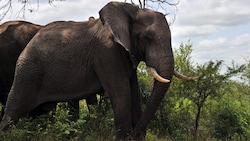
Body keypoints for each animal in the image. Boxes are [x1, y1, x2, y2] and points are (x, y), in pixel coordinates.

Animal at [0, 1, 195, 140]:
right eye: (147, 38)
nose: (135, 135)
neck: (131, 11)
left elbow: (134, 92)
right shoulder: (107, 53)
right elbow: (121, 92)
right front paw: (124, 138)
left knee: (40, 113)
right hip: (28, 70)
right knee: (13, 111)